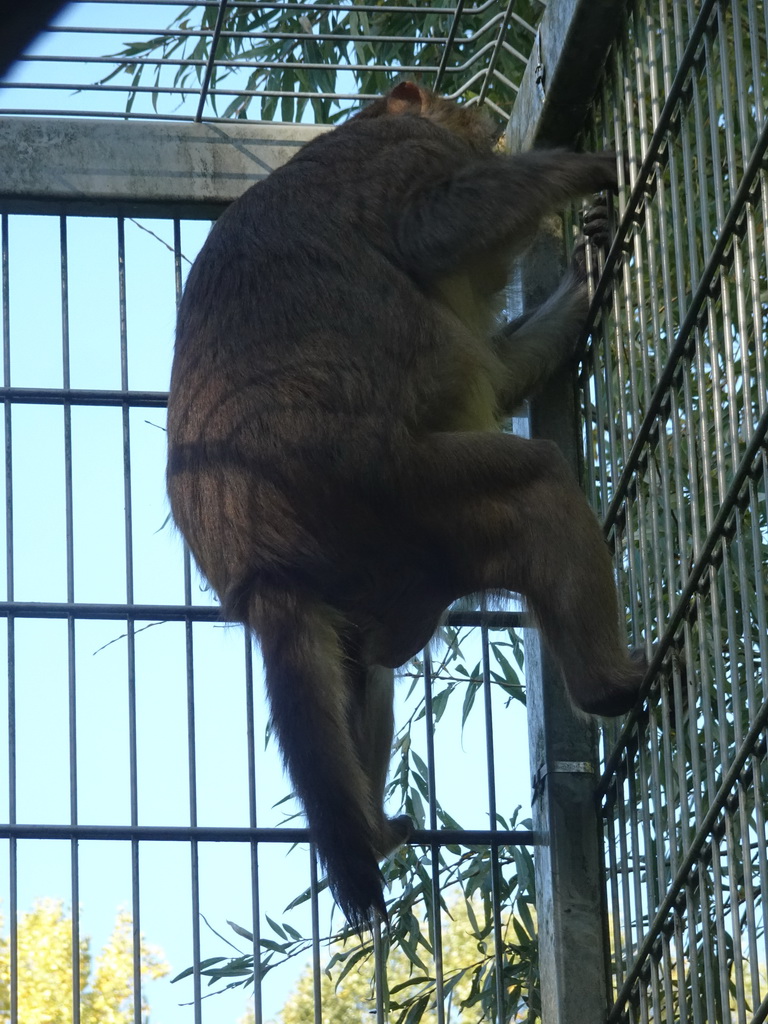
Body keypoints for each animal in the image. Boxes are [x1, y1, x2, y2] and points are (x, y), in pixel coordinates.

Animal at [165, 79, 647, 929]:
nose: (477, 118)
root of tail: (257, 567)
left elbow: (499, 365)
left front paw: (588, 264)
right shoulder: (403, 154)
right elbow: (434, 230)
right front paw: (579, 167)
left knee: (361, 669)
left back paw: (375, 830)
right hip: (399, 493)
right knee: (536, 485)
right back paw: (607, 683)